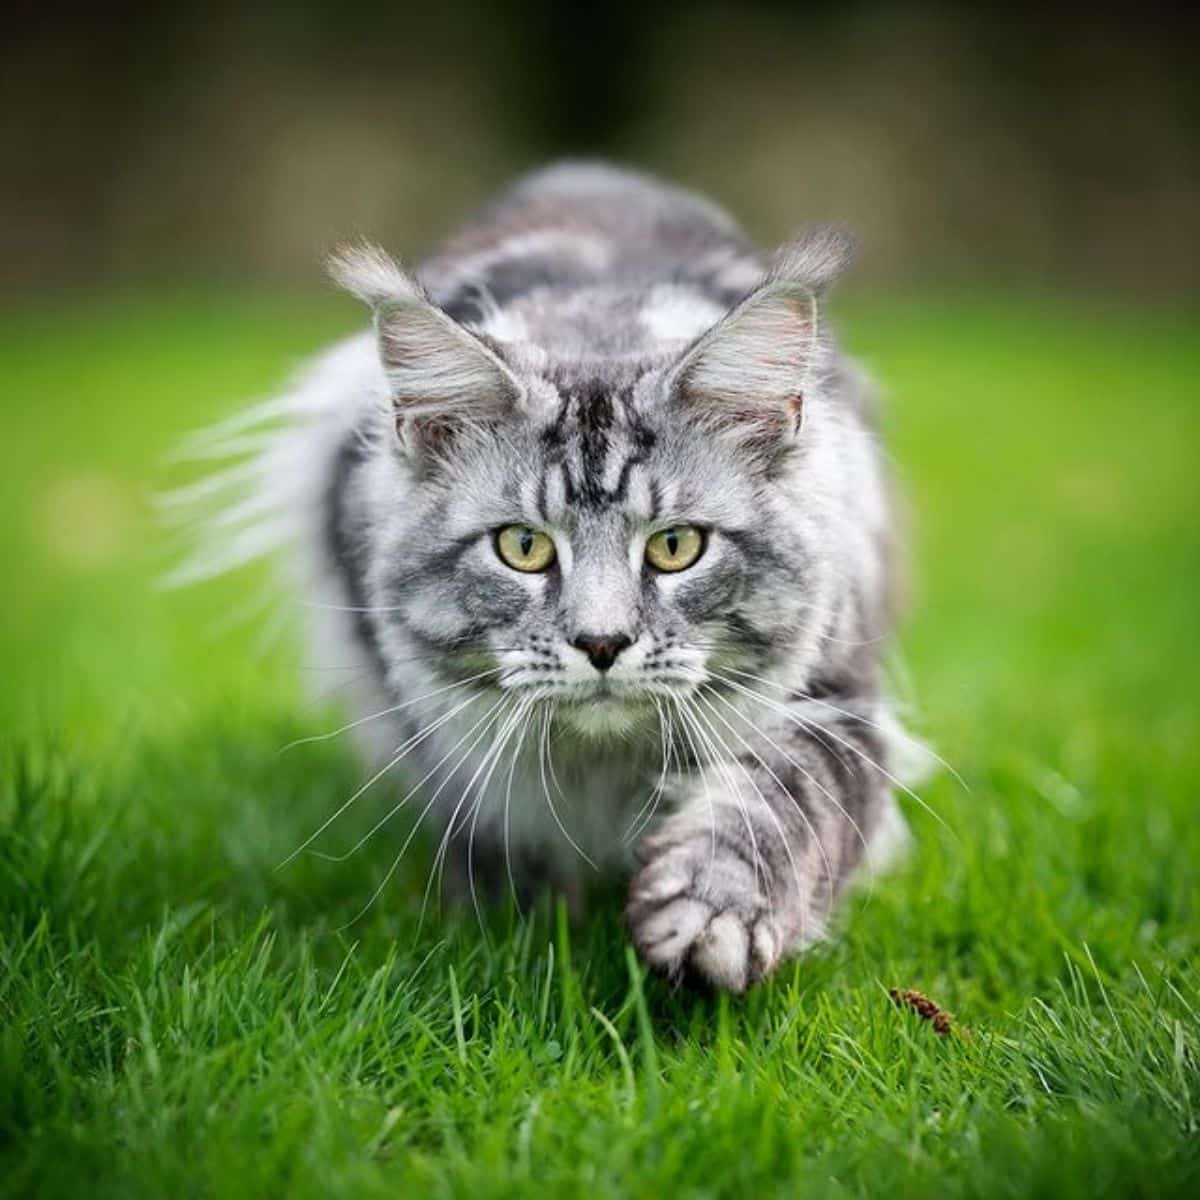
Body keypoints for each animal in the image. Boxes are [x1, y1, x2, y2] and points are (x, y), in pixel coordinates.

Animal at [171, 166, 916, 993]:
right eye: (523, 547)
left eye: (676, 546)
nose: (602, 643)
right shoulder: (439, 732)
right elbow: (497, 838)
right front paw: (516, 932)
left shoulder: (840, 707)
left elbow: (775, 806)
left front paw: (708, 917)